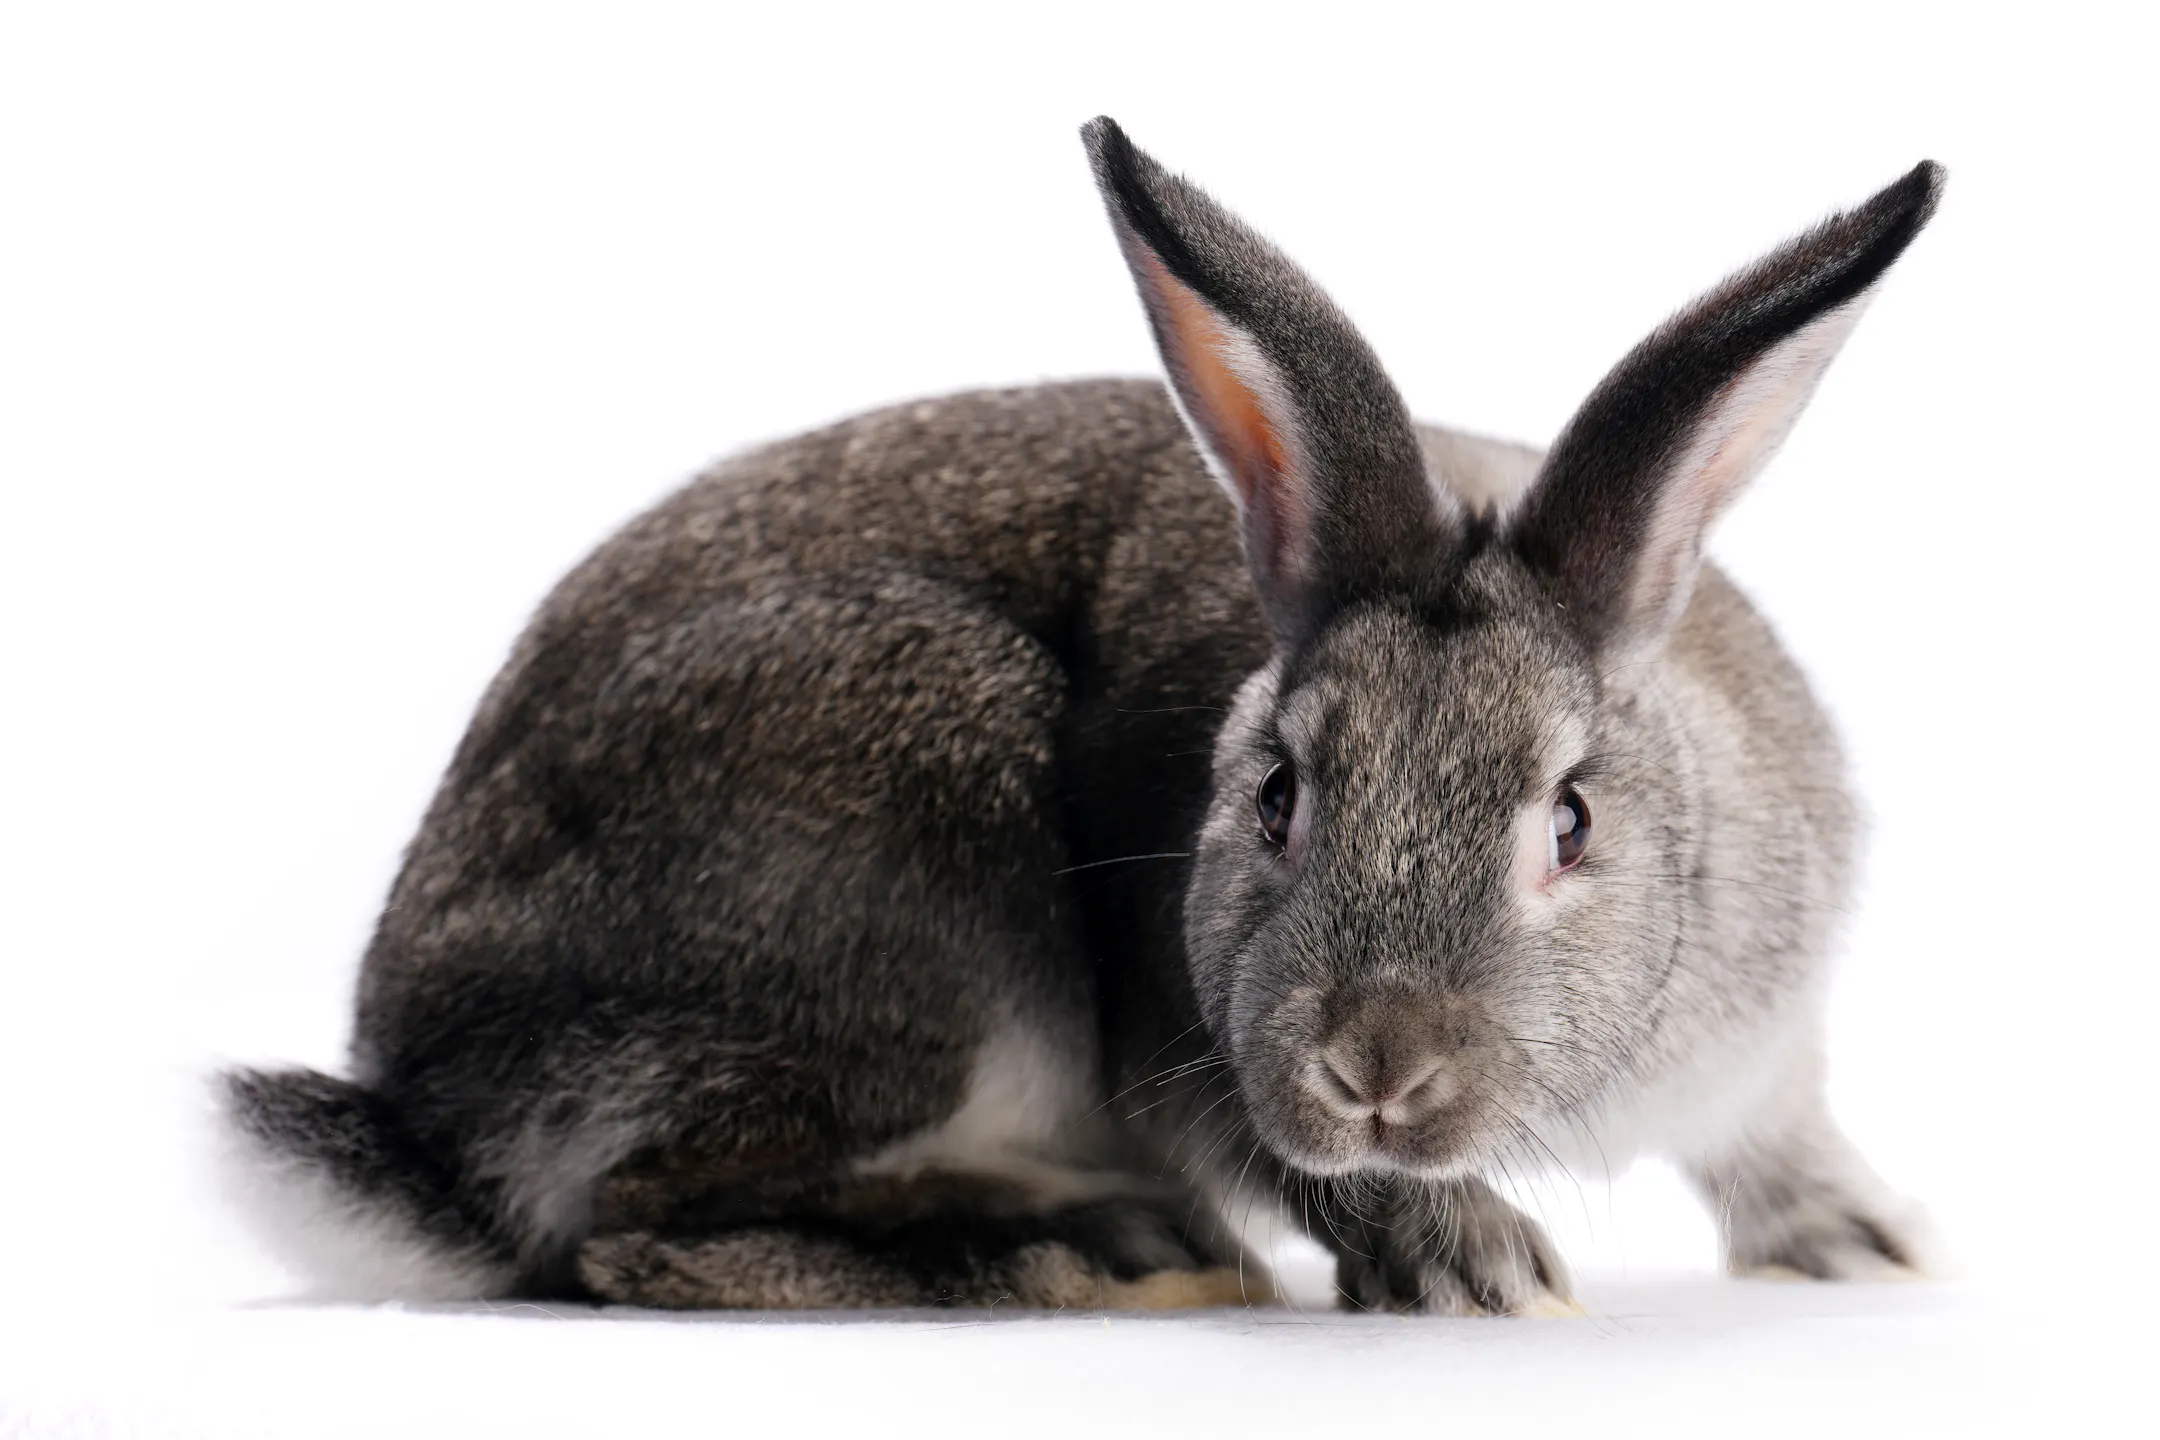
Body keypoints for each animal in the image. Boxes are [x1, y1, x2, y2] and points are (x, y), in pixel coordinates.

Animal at [218, 116, 1945, 1315]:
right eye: (1276, 796)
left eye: (1571, 822)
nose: (1376, 1066)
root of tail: (433, 1099)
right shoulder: (1191, 1051)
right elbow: (1302, 1169)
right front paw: (1481, 1267)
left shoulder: (1762, 1057)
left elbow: (1778, 1140)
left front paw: (1870, 1246)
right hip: (911, 860)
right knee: (633, 1236)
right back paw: (1102, 1255)